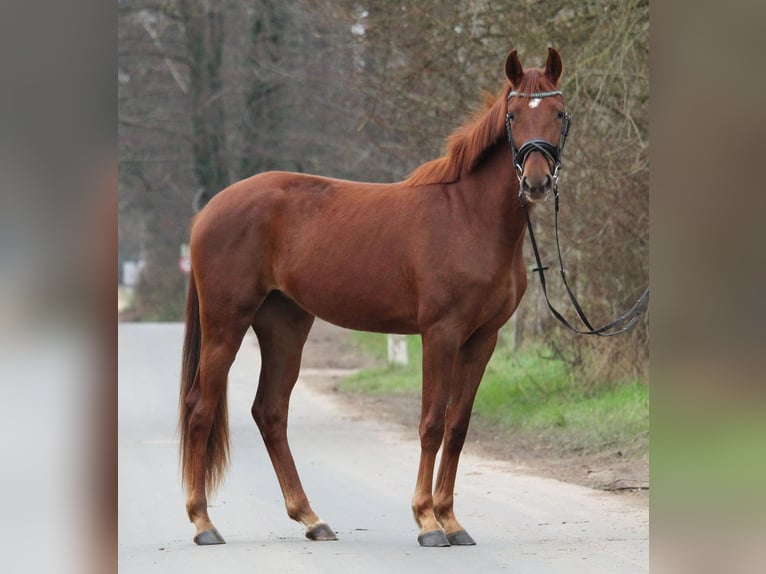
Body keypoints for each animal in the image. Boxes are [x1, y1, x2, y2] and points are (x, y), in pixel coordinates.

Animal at [182, 47, 568, 548]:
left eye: (558, 113)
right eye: (513, 116)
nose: (536, 182)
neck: (469, 218)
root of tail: (209, 210)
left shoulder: (483, 338)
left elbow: (458, 426)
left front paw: (451, 520)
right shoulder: (440, 334)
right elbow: (431, 423)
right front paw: (427, 522)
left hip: (285, 324)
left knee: (270, 411)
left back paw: (311, 519)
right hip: (226, 323)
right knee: (201, 408)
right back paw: (204, 523)